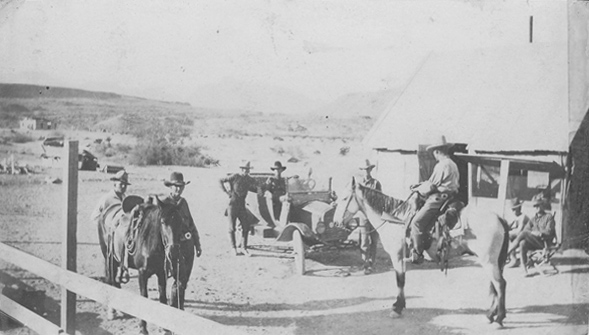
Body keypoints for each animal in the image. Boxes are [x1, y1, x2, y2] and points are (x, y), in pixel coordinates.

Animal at [97, 196, 195, 334]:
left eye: (180, 221)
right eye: (163, 222)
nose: (174, 251)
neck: (150, 242)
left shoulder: (161, 272)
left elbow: (163, 298)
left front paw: (164, 329)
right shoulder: (142, 273)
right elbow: (144, 297)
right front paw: (143, 328)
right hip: (109, 258)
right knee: (111, 280)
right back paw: (112, 311)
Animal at [334, 178, 508, 328]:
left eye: (344, 198)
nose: (335, 223)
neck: (394, 218)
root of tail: (498, 218)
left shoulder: (397, 257)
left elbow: (400, 281)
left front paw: (397, 308)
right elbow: (402, 281)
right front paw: (400, 305)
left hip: (488, 261)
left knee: (500, 284)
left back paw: (499, 319)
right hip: (492, 261)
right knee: (495, 285)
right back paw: (490, 316)